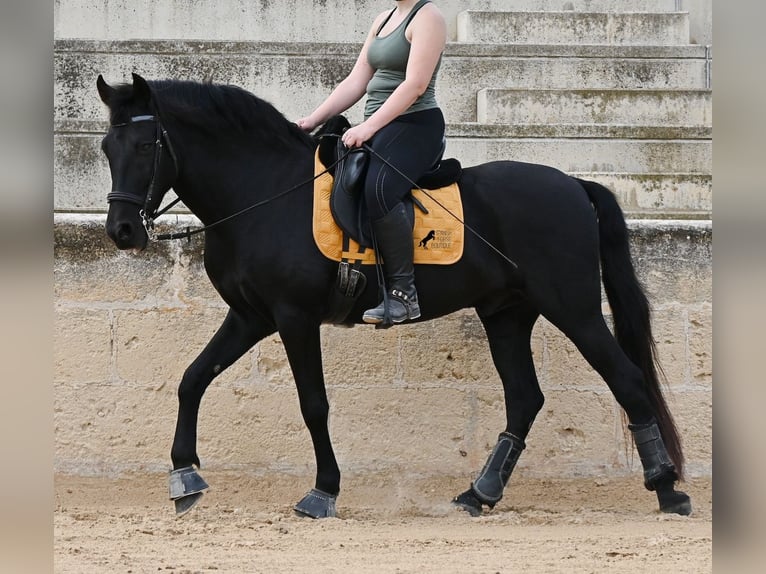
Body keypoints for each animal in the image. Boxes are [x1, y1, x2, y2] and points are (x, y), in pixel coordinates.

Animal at [95, 73, 692, 518]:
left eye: (146, 145)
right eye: (105, 146)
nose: (122, 231)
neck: (262, 192)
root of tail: (574, 184)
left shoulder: (293, 317)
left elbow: (313, 403)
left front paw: (323, 492)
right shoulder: (250, 316)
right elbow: (192, 379)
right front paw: (185, 478)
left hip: (574, 309)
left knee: (627, 379)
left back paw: (667, 488)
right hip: (507, 314)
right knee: (525, 397)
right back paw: (479, 494)